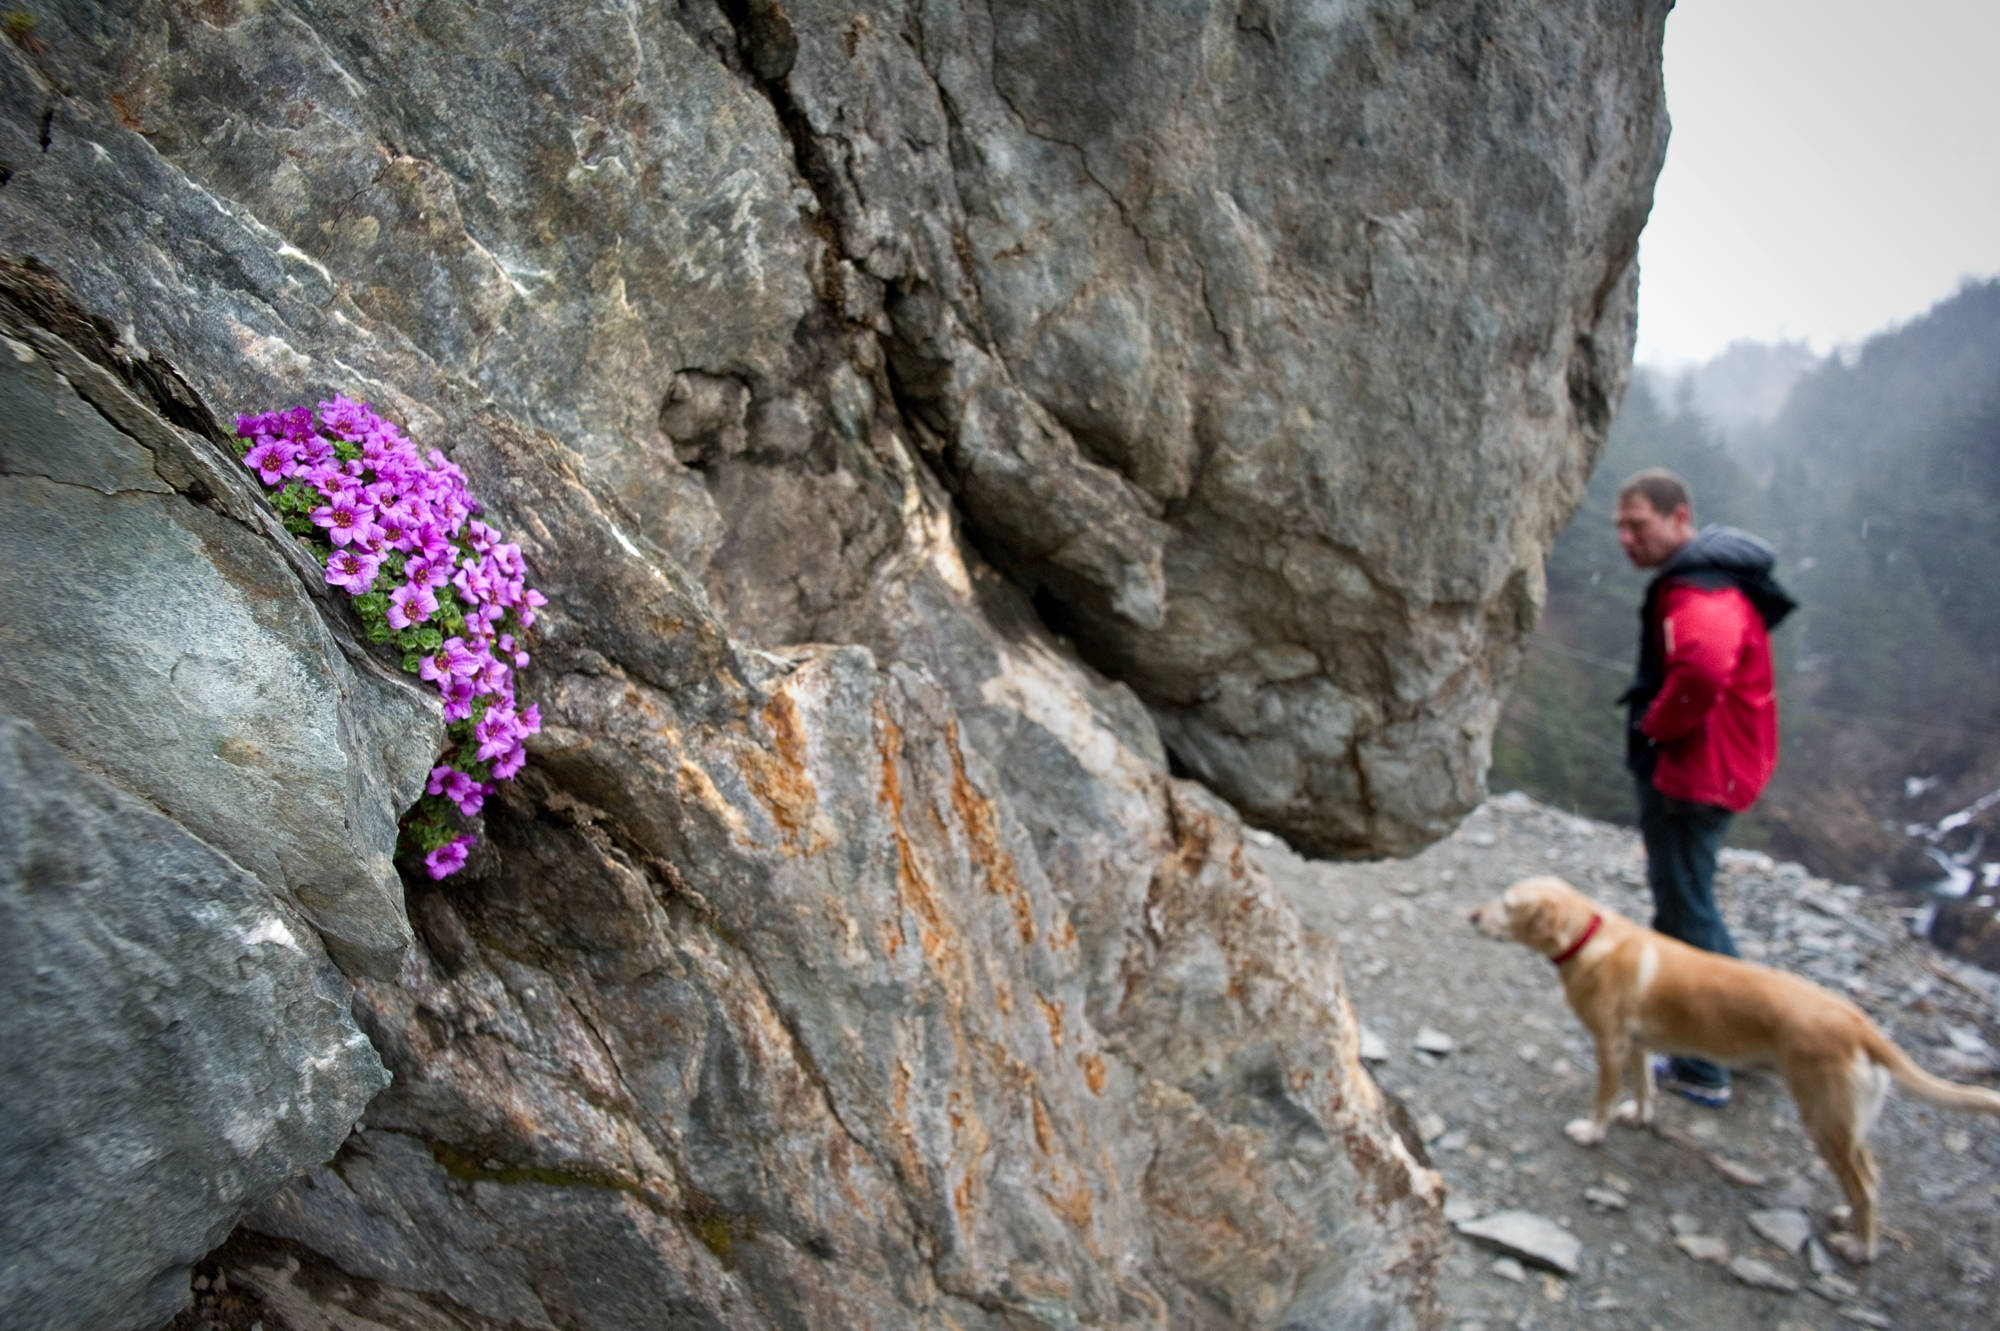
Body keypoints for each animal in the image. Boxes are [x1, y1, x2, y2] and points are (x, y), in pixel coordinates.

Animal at [1472, 871, 2000, 1255]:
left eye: (1508, 902)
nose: (1474, 914)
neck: (1587, 936)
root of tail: (1857, 1022)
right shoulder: (1639, 1044)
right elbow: (1643, 1087)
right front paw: (1640, 1117)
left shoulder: (1611, 1045)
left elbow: (1603, 1096)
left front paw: (1592, 1132)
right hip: (1848, 1121)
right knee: (1869, 1173)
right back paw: (1846, 1220)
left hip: (1824, 1116)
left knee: (1865, 1187)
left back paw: (1859, 1248)